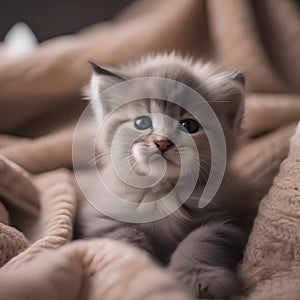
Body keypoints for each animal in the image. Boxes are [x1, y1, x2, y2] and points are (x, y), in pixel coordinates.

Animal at [76, 52, 250, 298]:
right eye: (142, 122)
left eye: (189, 126)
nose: (163, 142)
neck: (161, 193)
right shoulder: (104, 221)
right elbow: (128, 245)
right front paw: (146, 275)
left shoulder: (229, 219)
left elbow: (200, 242)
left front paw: (200, 279)